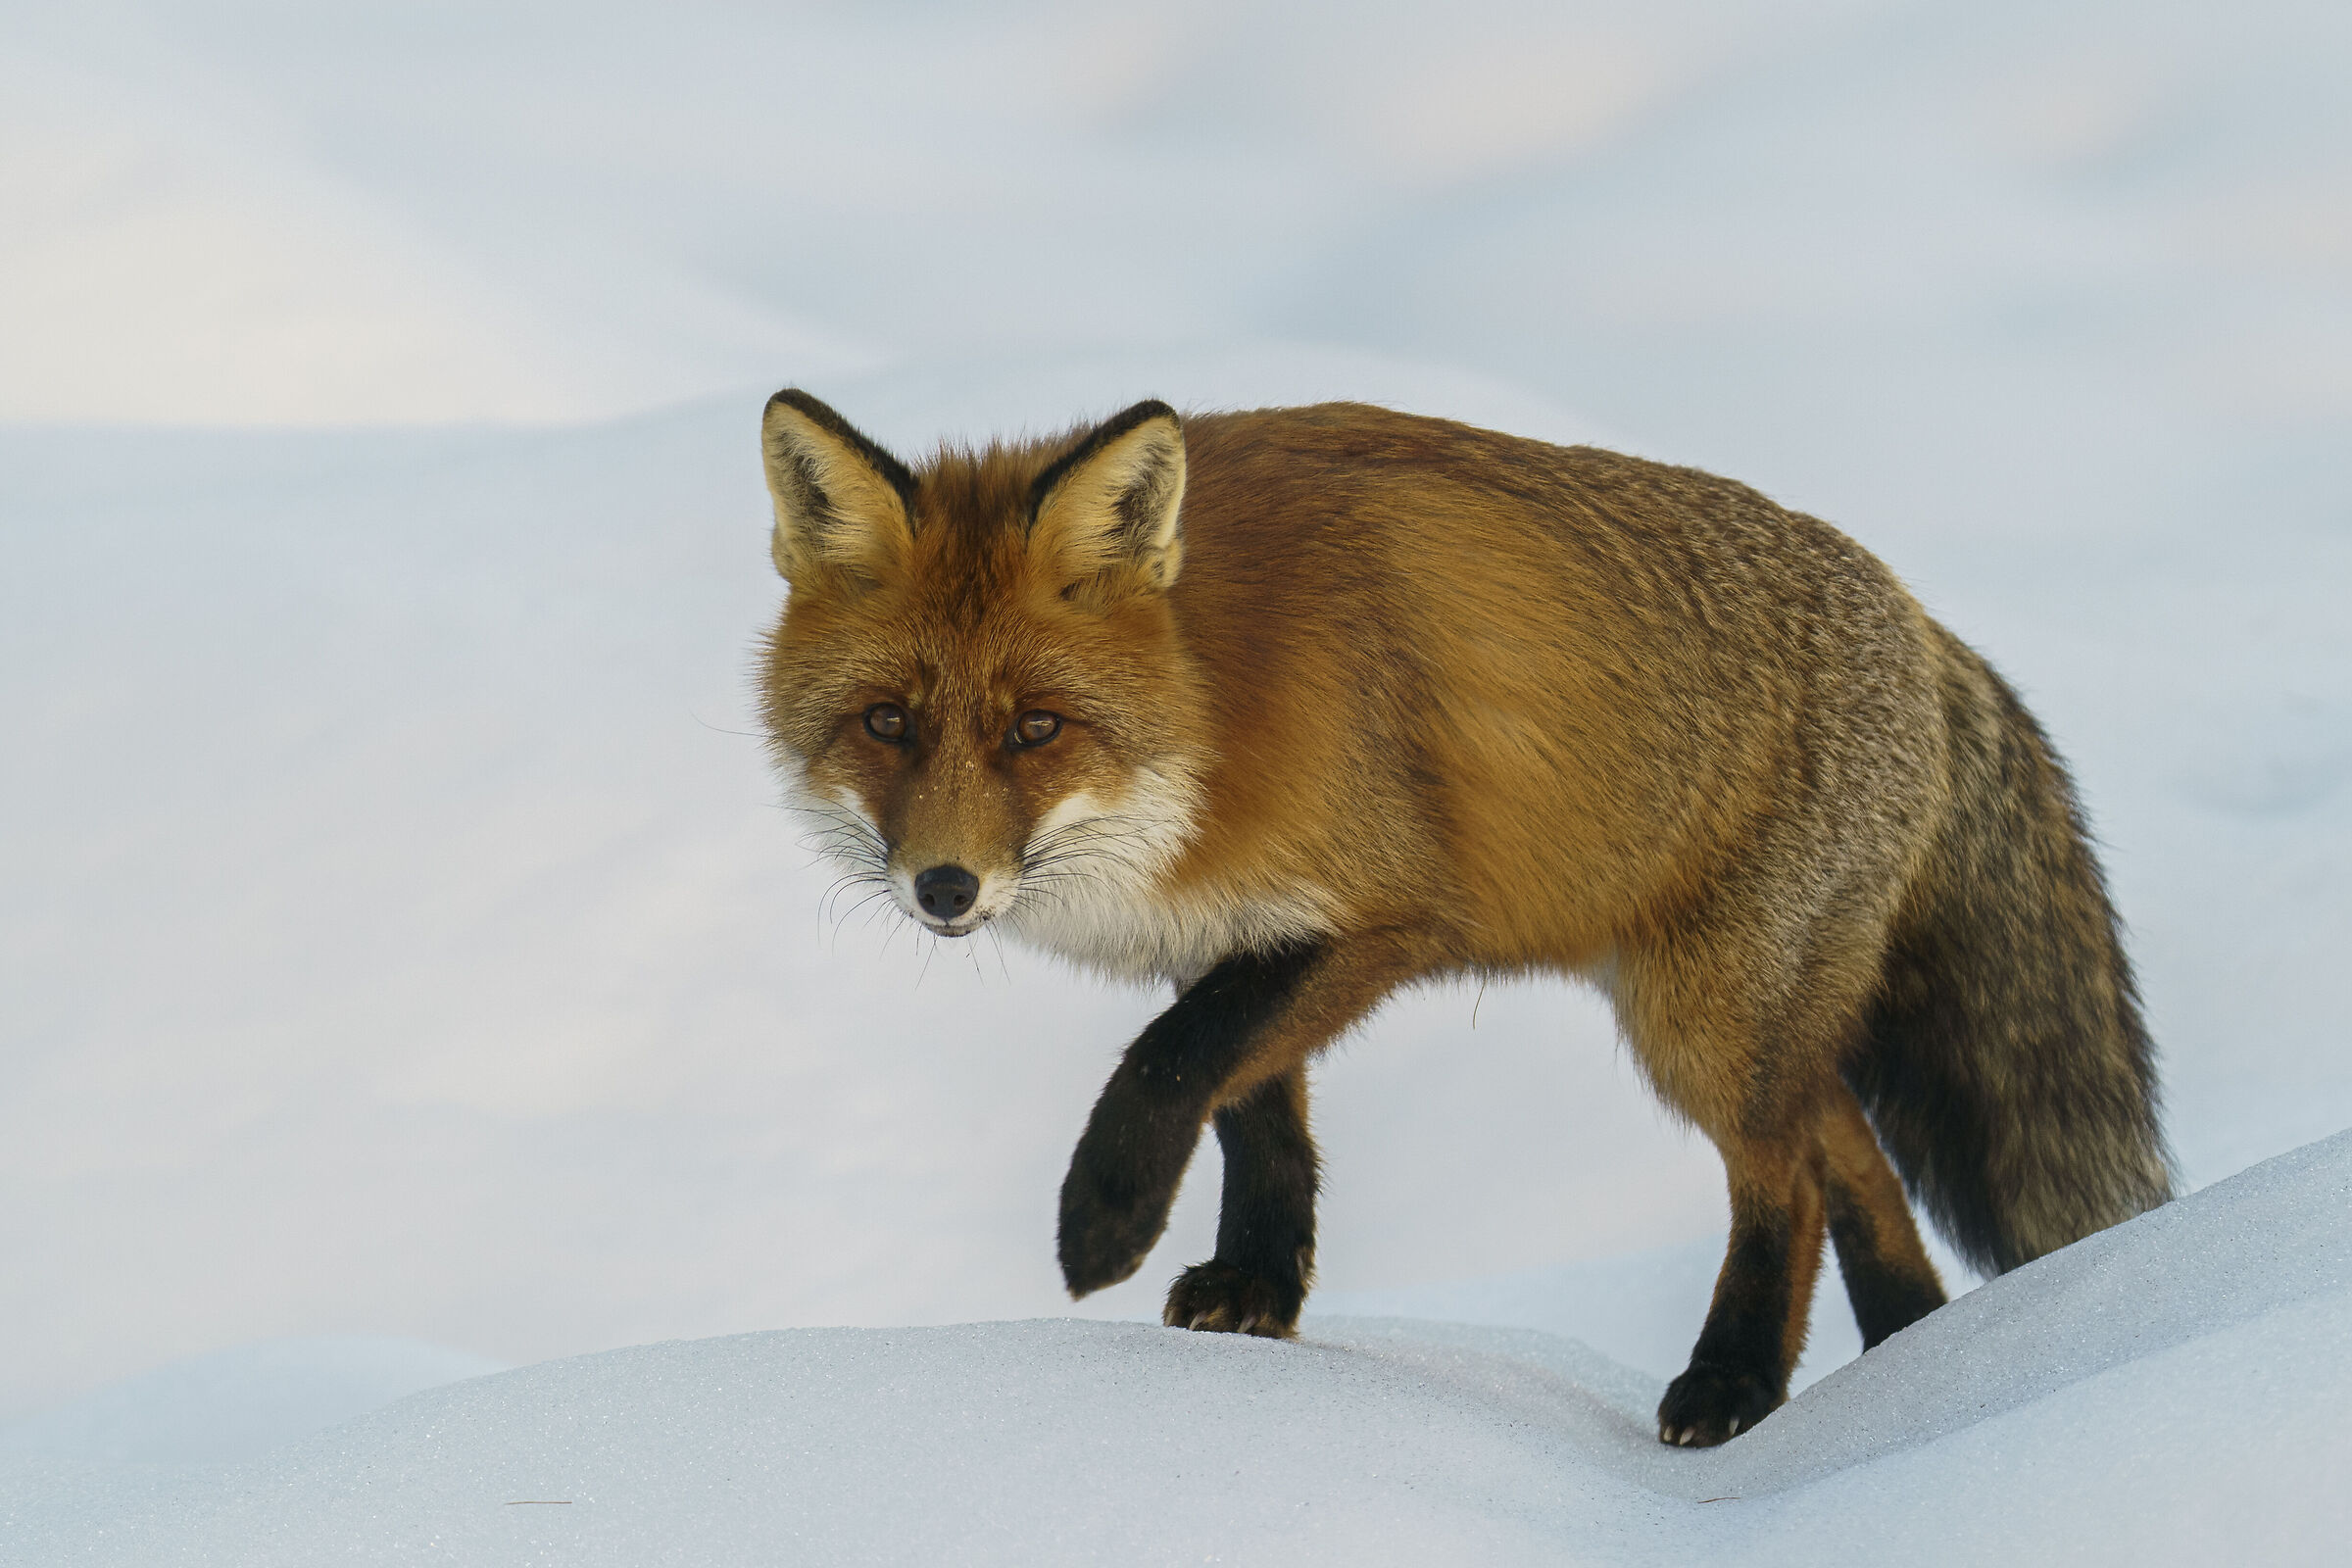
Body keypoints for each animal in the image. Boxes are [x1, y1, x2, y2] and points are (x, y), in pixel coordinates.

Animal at [754, 389, 2174, 1447]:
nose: (945, 887)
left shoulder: (1389, 918)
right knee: (1853, 1153)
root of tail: (1925, 626)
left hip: (1702, 1023)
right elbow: (1253, 1110)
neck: (1215, 710)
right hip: (1736, 1015)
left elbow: (1171, 1065)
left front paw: (1105, 1216)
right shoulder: (1239, 931)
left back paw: (1738, 1384)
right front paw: (1259, 1289)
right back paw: (1920, 1363)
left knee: (1791, 1180)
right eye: (887, 722)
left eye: (1036, 729)